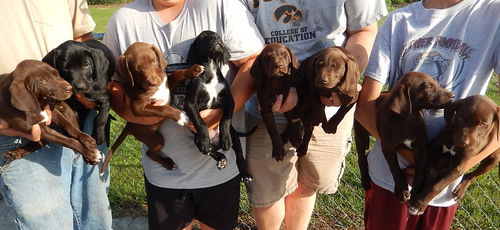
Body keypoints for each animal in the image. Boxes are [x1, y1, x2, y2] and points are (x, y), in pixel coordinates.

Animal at [101, 42, 205, 173]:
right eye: (136, 68)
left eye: (154, 61)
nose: (153, 82)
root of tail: (128, 126)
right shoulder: (137, 107)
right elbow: (163, 109)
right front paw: (180, 117)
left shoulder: (166, 86)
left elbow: (176, 74)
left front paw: (194, 70)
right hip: (150, 137)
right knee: (149, 153)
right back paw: (168, 164)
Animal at [185, 30, 254, 181]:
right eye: (203, 37)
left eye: (217, 35)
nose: (216, 38)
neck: (210, 69)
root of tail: (215, 142)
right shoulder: (190, 104)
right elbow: (200, 123)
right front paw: (205, 141)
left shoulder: (230, 102)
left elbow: (225, 121)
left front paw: (225, 139)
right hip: (196, 139)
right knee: (211, 151)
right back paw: (218, 156)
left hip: (235, 135)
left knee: (239, 156)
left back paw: (245, 173)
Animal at [376, 71, 456, 201]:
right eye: (429, 87)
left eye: (436, 83)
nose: (453, 95)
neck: (407, 120)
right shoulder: (387, 146)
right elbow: (394, 167)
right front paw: (401, 189)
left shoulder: (421, 147)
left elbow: (420, 170)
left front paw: (416, 191)